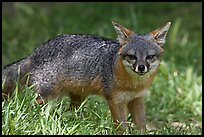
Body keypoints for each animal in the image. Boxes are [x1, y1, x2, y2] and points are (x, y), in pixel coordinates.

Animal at [1, 21, 171, 132]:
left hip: (78, 98)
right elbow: (121, 127)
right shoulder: (115, 101)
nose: (141, 68)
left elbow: (141, 125)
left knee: (69, 112)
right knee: (31, 108)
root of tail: (34, 53)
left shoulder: (137, 99)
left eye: (150, 57)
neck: (133, 85)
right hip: (46, 96)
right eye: (132, 57)